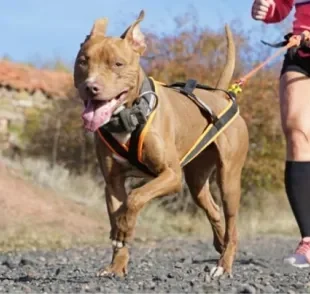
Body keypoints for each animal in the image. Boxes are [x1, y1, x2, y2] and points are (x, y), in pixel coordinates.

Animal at [73, 10, 249, 280]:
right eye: (83, 61)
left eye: (118, 64)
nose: (91, 87)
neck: (129, 116)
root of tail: (219, 95)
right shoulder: (112, 183)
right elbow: (118, 213)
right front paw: (117, 265)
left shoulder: (170, 176)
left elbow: (135, 197)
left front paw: (123, 230)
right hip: (197, 180)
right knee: (214, 210)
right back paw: (219, 244)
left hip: (228, 179)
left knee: (231, 221)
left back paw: (224, 263)